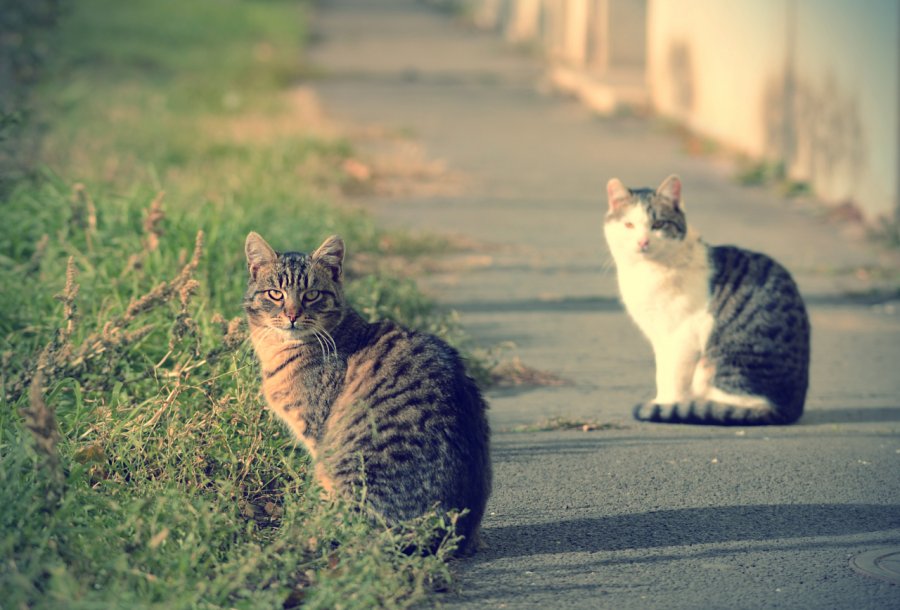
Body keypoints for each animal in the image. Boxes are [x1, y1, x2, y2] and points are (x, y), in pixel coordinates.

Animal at [244, 232, 492, 552]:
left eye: (312, 295)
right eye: (275, 294)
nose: (292, 315)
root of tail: (448, 535)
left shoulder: (318, 438)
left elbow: (324, 497)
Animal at [604, 175, 808, 422]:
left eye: (658, 225)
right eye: (628, 225)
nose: (642, 242)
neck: (647, 272)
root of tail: (790, 408)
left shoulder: (681, 335)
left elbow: (671, 376)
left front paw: (666, 404)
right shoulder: (659, 336)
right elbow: (661, 372)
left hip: (718, 366)